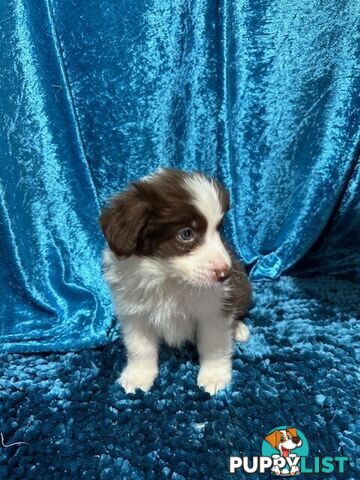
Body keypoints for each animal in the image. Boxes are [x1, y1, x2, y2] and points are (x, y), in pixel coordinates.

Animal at [98, 168, 250, 394]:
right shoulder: (134, 311)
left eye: (219, 229)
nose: (225, 273)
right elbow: (139, 347)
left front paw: (214, 375)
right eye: (186, 234)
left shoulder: (214, 309)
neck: (168, 278)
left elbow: (214, 343)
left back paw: (238, 328)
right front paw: (138, 375)